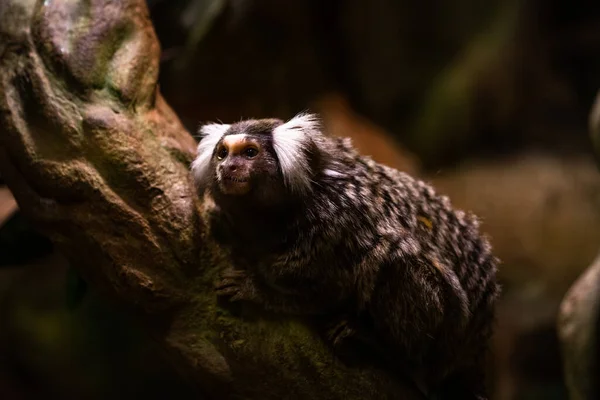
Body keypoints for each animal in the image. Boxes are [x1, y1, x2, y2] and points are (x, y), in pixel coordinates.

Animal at [191, 113, 496, 400]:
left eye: (249, 152)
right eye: (222, 153)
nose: (228, 167)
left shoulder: (334, 222)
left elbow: (326, 292)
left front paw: (255, 289)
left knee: (401, 265)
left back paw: (379, 344)